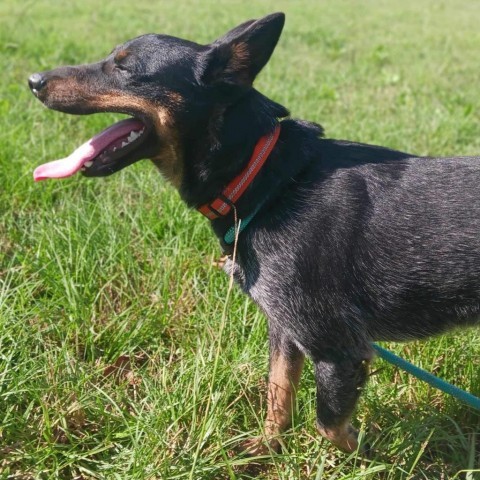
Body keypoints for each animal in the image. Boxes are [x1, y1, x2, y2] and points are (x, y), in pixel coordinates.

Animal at [29, 12, 480, 454]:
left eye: (123, 68)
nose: (33, 79)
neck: (267, 179)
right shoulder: (284, 328)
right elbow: (277, 394)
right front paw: (265, 447)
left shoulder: (338, 349)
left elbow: (329, 424)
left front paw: (367, 454)